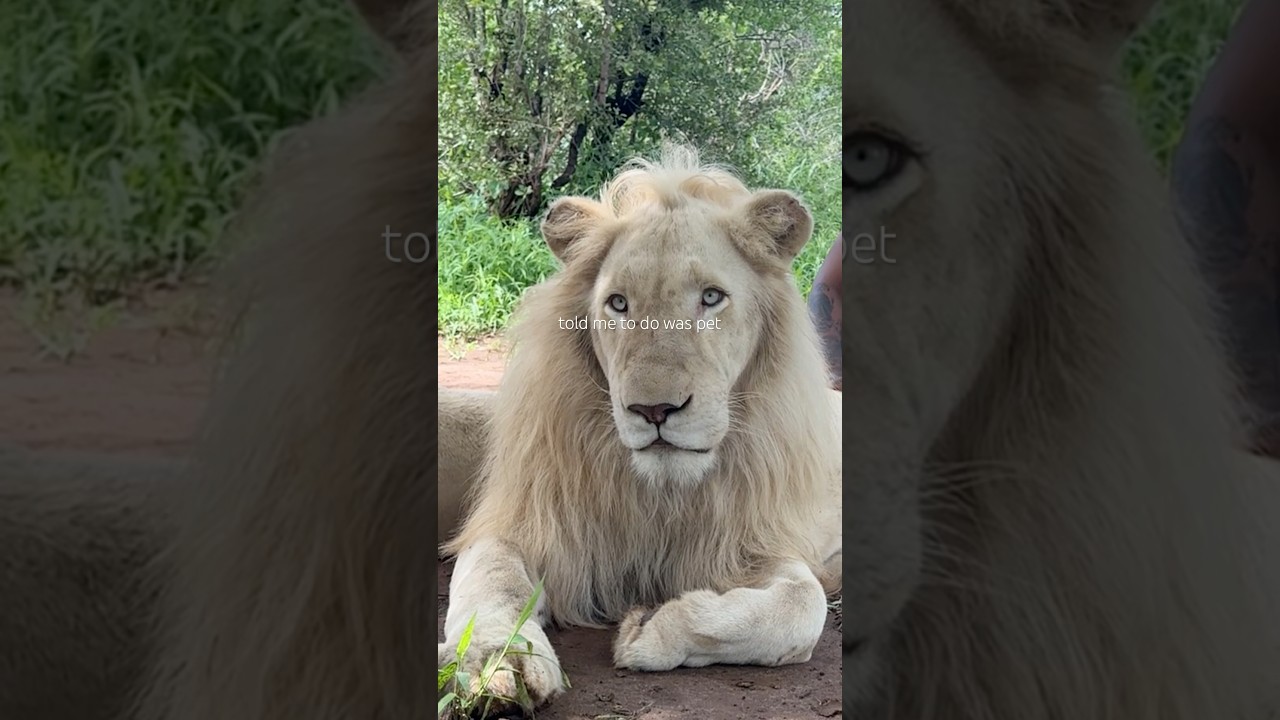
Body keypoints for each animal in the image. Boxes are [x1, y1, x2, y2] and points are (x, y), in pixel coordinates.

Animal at [435, 144, 844, 712]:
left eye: (711, 298)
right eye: (619, 303)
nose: (654, 410)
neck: (660, 492)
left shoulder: (753, 539)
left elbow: (803, 603)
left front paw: (652, 625)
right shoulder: (523, 524)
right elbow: (490, 584)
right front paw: (498, 662)